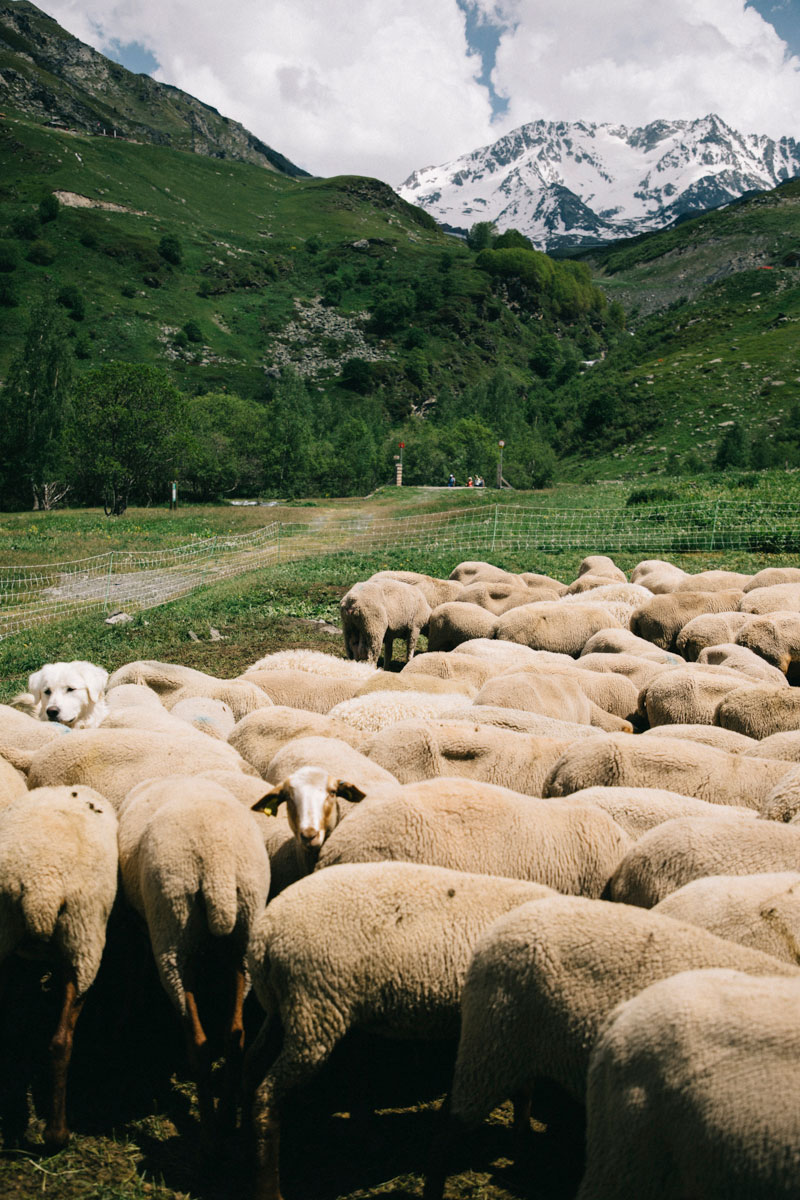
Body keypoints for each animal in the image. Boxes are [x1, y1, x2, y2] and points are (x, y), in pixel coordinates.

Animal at [118, 776, 269, 1139]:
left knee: (198, 1040)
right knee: (235, 1036)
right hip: (245, 932)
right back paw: (226, 1119)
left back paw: (210, 1132)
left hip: (172, 930)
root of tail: (217, 869)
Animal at [244, 861, 555, 1200]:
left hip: (285, 1009)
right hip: (313, 1009)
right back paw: (269, 1189)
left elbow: (525, 1088)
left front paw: (522, 1140)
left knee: (249, 1069)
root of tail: (265, 934)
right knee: (266, 1096)